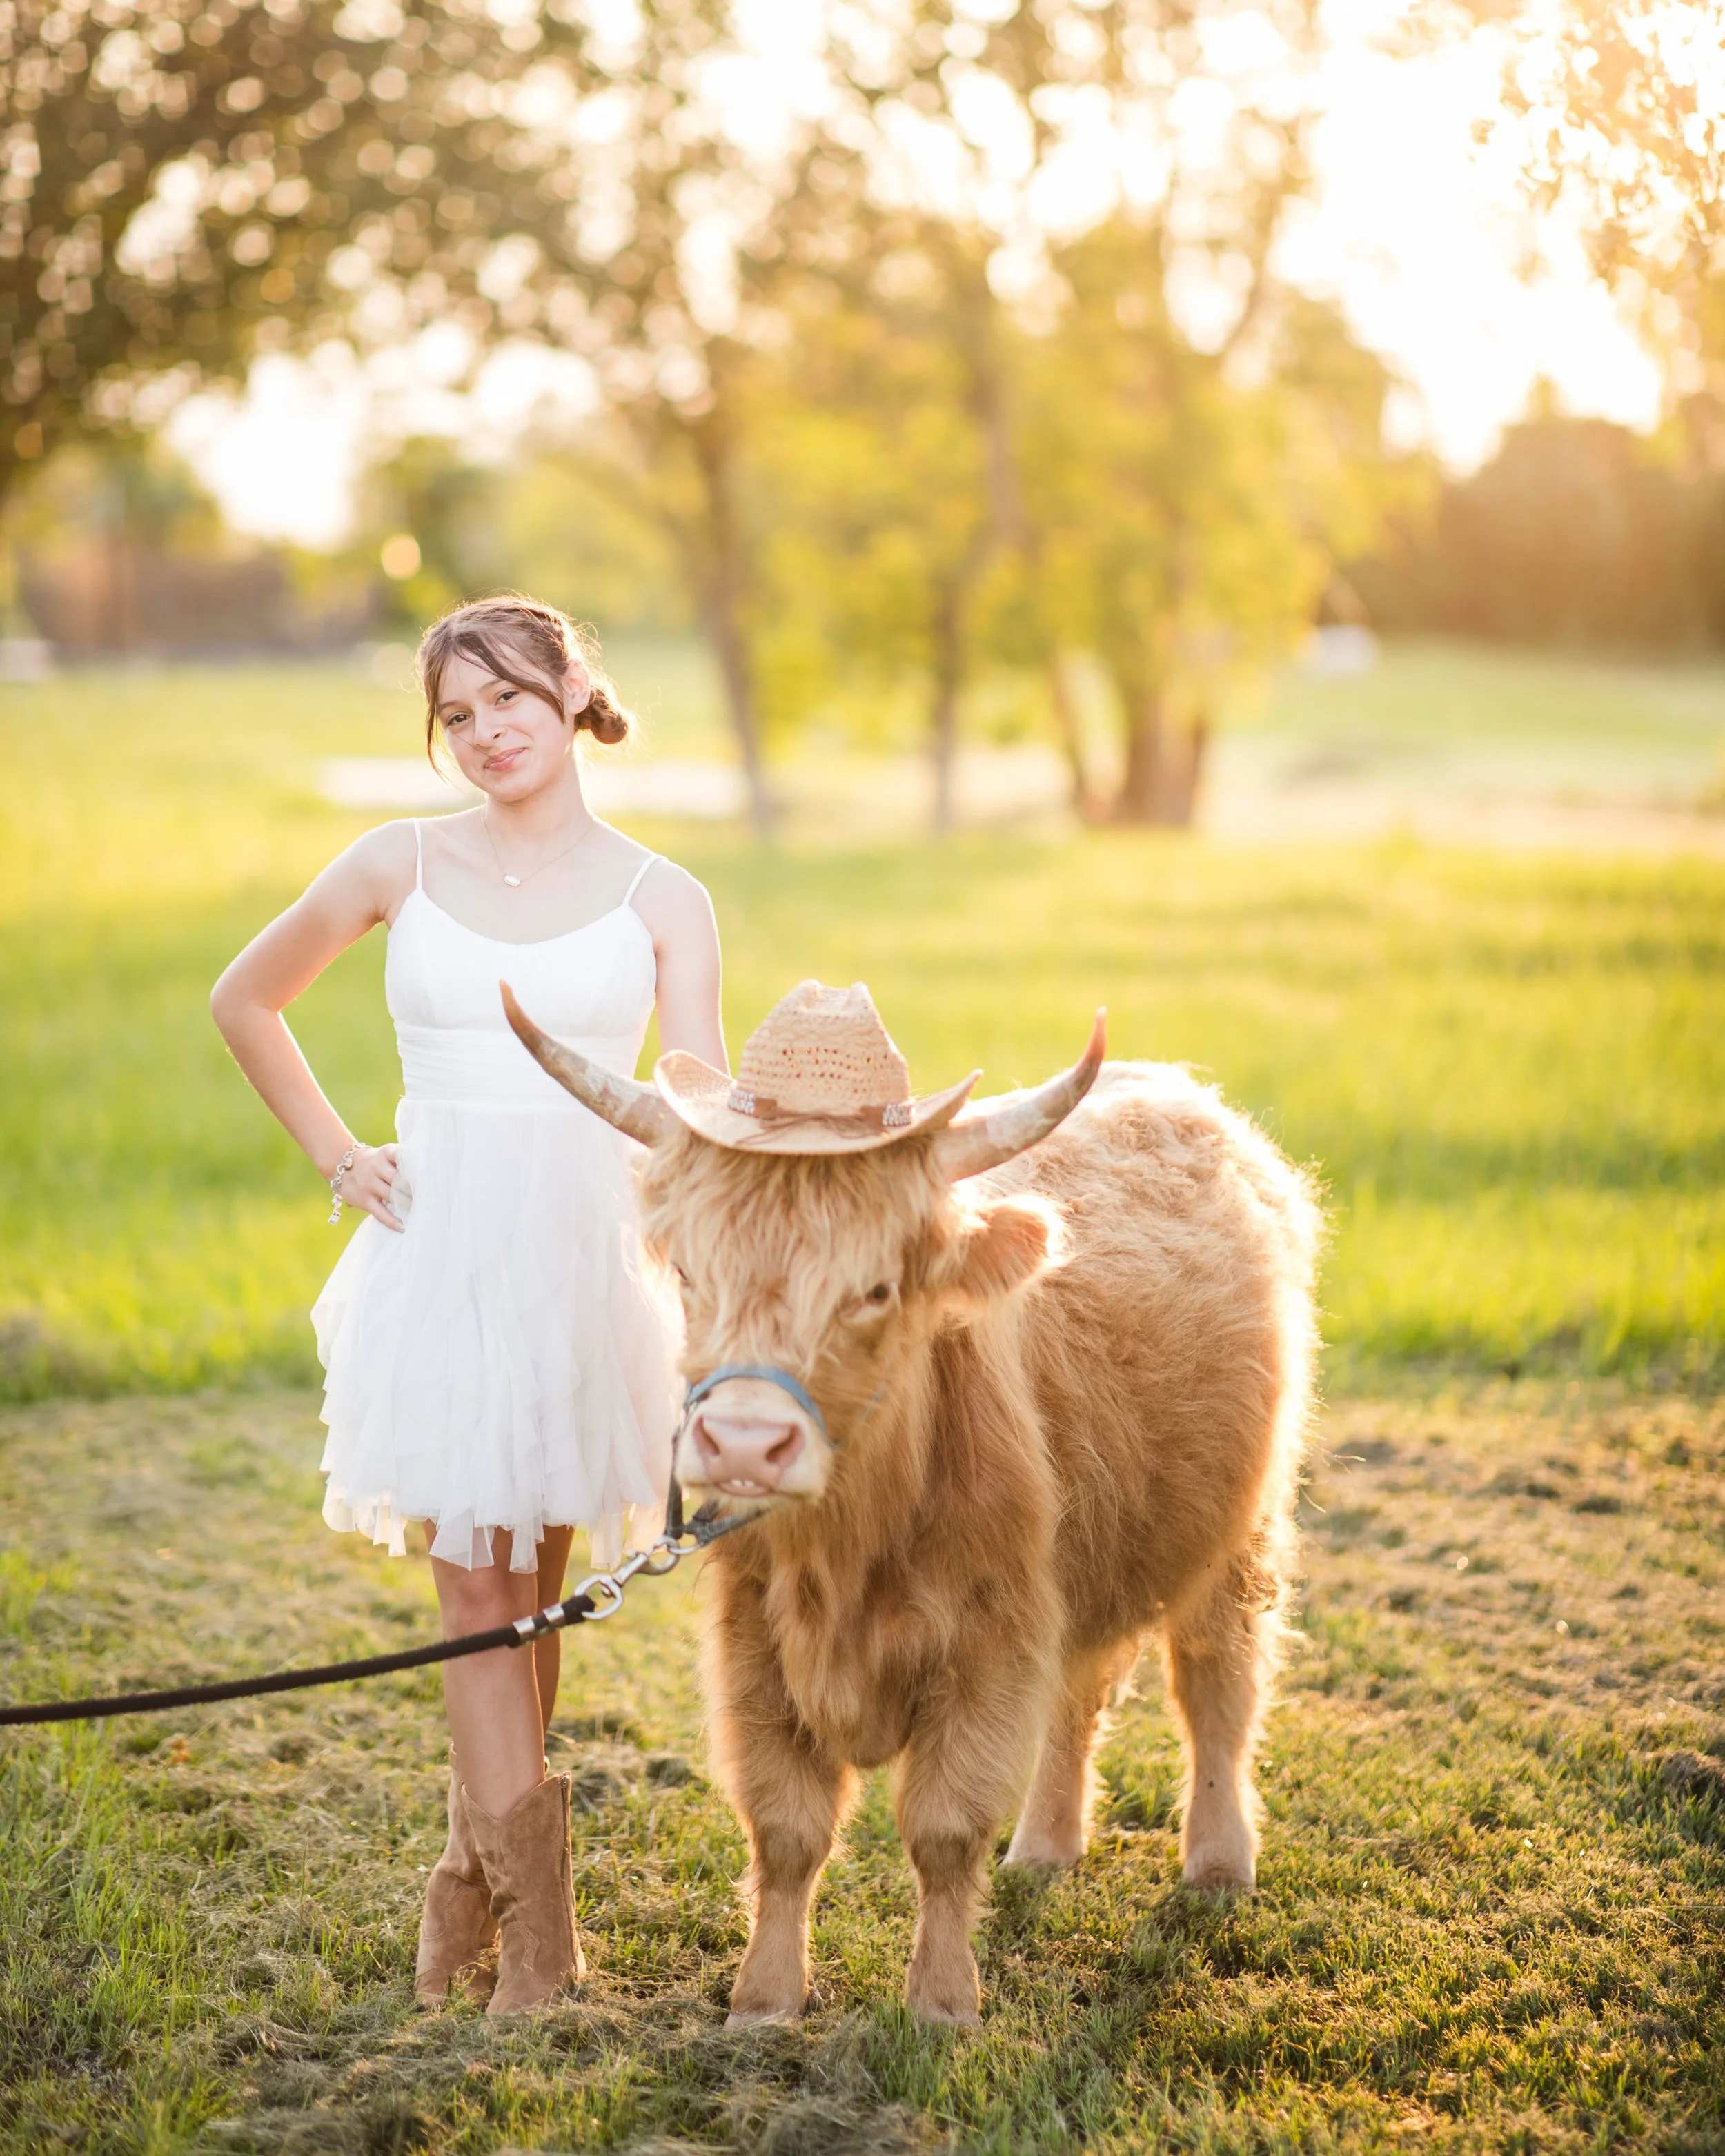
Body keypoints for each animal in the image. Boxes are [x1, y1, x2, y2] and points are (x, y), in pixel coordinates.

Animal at [503, 981, 1321, 2027]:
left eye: (876, 1288)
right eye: (687, 1273)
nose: (744, 1442)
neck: (846, 1557)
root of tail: (1179, 1090)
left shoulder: (989, 1642)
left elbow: (942, 1830)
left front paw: (941, 2004)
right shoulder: (753, 1643)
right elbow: (786, 1827)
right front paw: (762, 2001)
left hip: (1239, 1532)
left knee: (1217, 1681)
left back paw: (1217, 1865)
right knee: (1081, 1692)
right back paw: (1043, 1851)